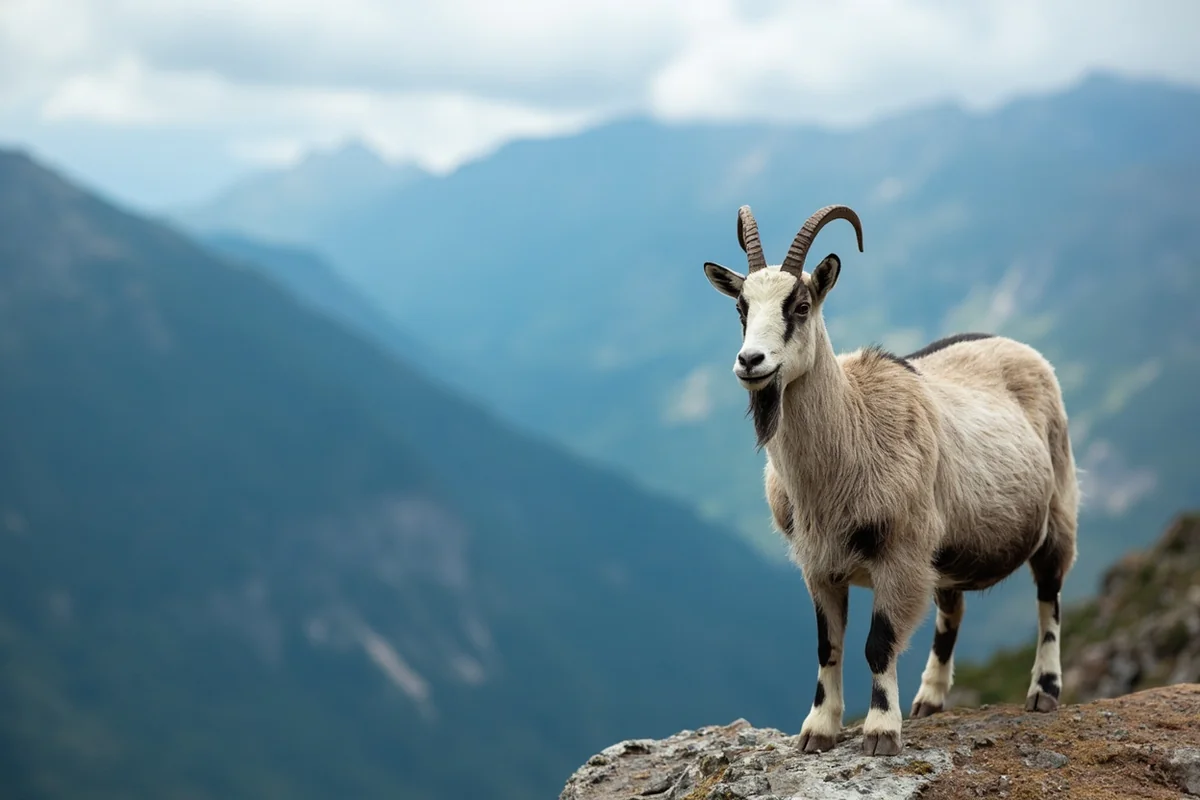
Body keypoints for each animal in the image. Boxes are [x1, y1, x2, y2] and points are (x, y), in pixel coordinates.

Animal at [702, 204, 1079, 756]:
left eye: (801, 305)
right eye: (740, 307)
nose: (751, 362)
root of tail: (1014, 345)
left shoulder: (899, 554)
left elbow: (878, 644)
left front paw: (880, 732)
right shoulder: (819, 566)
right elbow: (827, 645)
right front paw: (818, 729)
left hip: (1057, 507)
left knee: (1049, 596)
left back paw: (1044, 692)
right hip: (943, 550)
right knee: (951, 611)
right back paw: (929, 700)